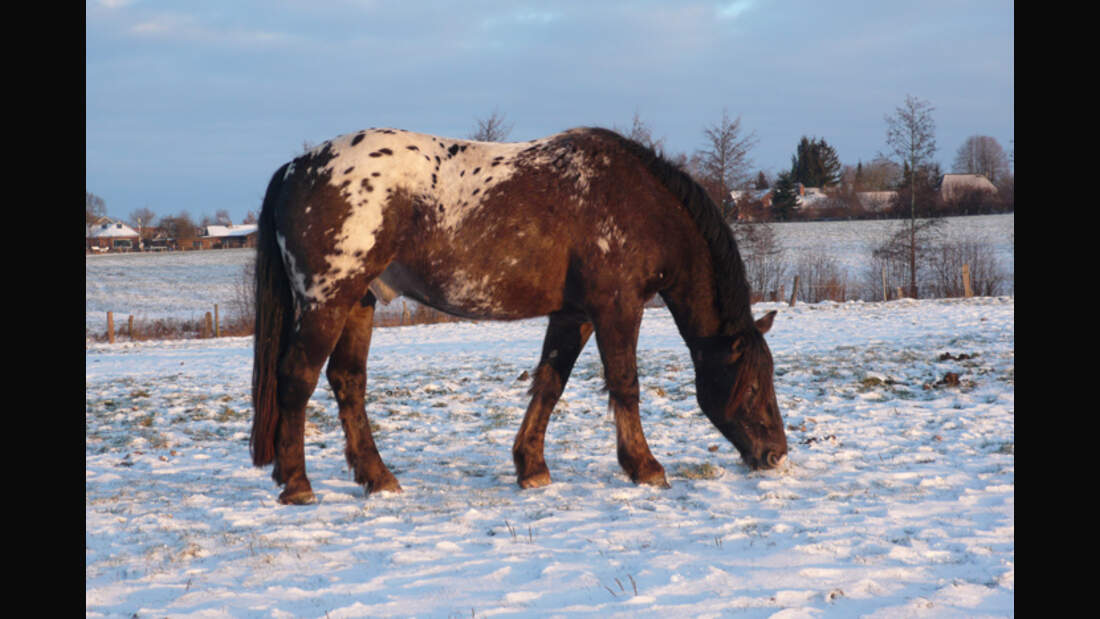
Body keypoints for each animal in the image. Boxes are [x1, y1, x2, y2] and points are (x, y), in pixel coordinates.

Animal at [251, 125, 787, 503]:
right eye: (752, 386)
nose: (775, 454)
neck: (639, 203)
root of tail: (299, 167)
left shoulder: (574, 315)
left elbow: (550, 384)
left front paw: (531, 467)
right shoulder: (617, 308)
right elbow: (625, 385)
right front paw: (645, 466)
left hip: (358, 302)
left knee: (348, 383)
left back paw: (377, 477)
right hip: (328, 301)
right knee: (297, 378)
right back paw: (298, 484)